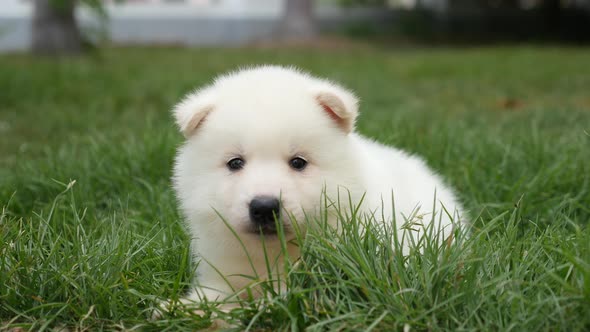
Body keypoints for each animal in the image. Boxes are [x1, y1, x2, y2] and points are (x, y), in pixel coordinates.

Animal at [171, 65, 468, 306]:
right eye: (235, 163)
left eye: (298, 162)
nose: (265, 207)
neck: (272, 253)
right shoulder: (221, 273)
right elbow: (213, 297)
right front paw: (178, 308)